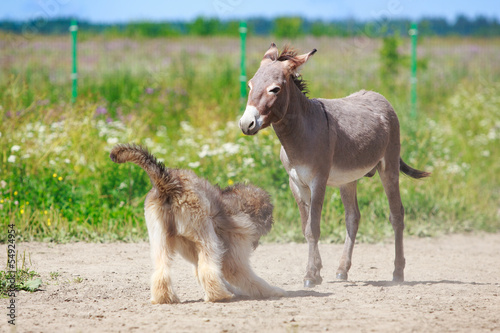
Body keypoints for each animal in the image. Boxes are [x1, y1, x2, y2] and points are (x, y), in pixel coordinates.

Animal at [110, 143, 286, 304]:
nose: (257, 241)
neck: (238, 204)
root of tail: (169, 182)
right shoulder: (234, 247)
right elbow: (243, 275)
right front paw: (273, 291)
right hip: (205, 233)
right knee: (207, 269)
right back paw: (218, 296)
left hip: (160, 238)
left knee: (161, 271)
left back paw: (165, 298)